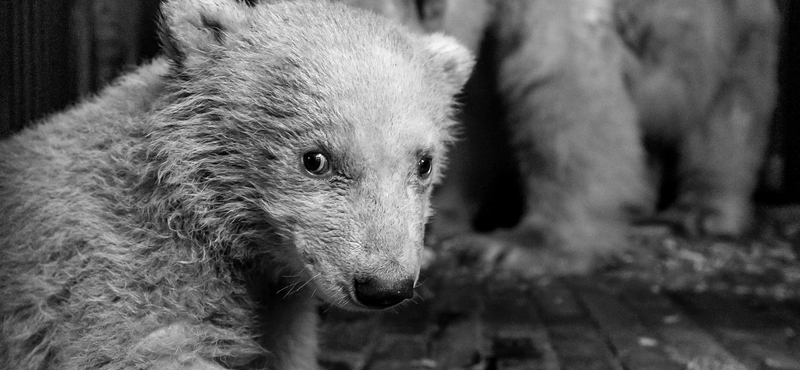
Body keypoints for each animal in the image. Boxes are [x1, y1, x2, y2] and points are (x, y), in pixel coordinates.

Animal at [346, 0, 780, 272]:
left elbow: (561, 86)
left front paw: (516, 247)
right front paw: (443, 224)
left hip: (740, 29)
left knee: (729, 113)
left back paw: (703, 213)